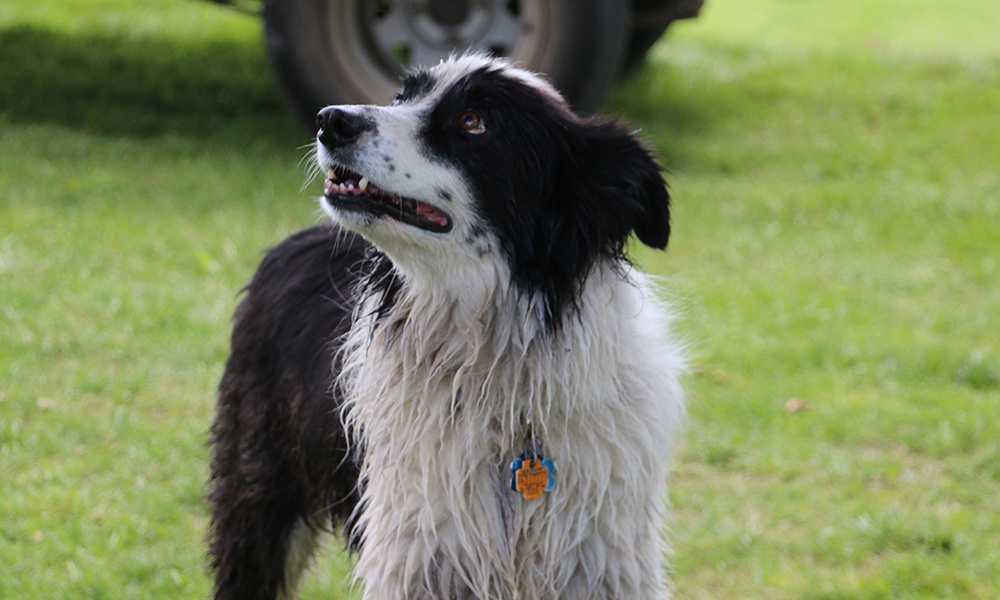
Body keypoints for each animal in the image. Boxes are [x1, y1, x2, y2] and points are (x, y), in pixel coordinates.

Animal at [207, 54, 684, 596]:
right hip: (258, 490)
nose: (330, 120)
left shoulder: (607, 564)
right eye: (401, 97)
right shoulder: (416, 556)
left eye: (473, 122)